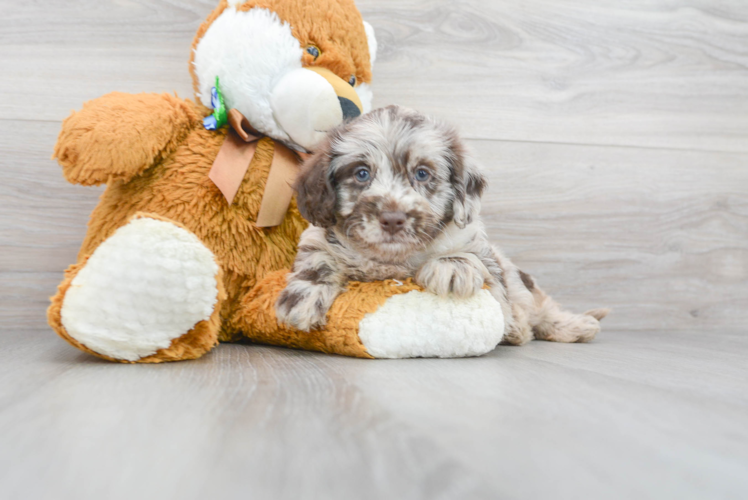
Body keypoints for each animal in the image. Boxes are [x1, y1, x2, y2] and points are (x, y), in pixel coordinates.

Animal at [274, 105, 608, 346]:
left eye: (422, 174)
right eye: (361, 173)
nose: (392, 219)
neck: (392, 259)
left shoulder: (481, 251)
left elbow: (474, 261)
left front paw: (451, 267)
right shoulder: (318, 237)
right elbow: (318, 259)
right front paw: (302, 298)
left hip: (524, 284)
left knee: (542, 308)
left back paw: (575, 325)